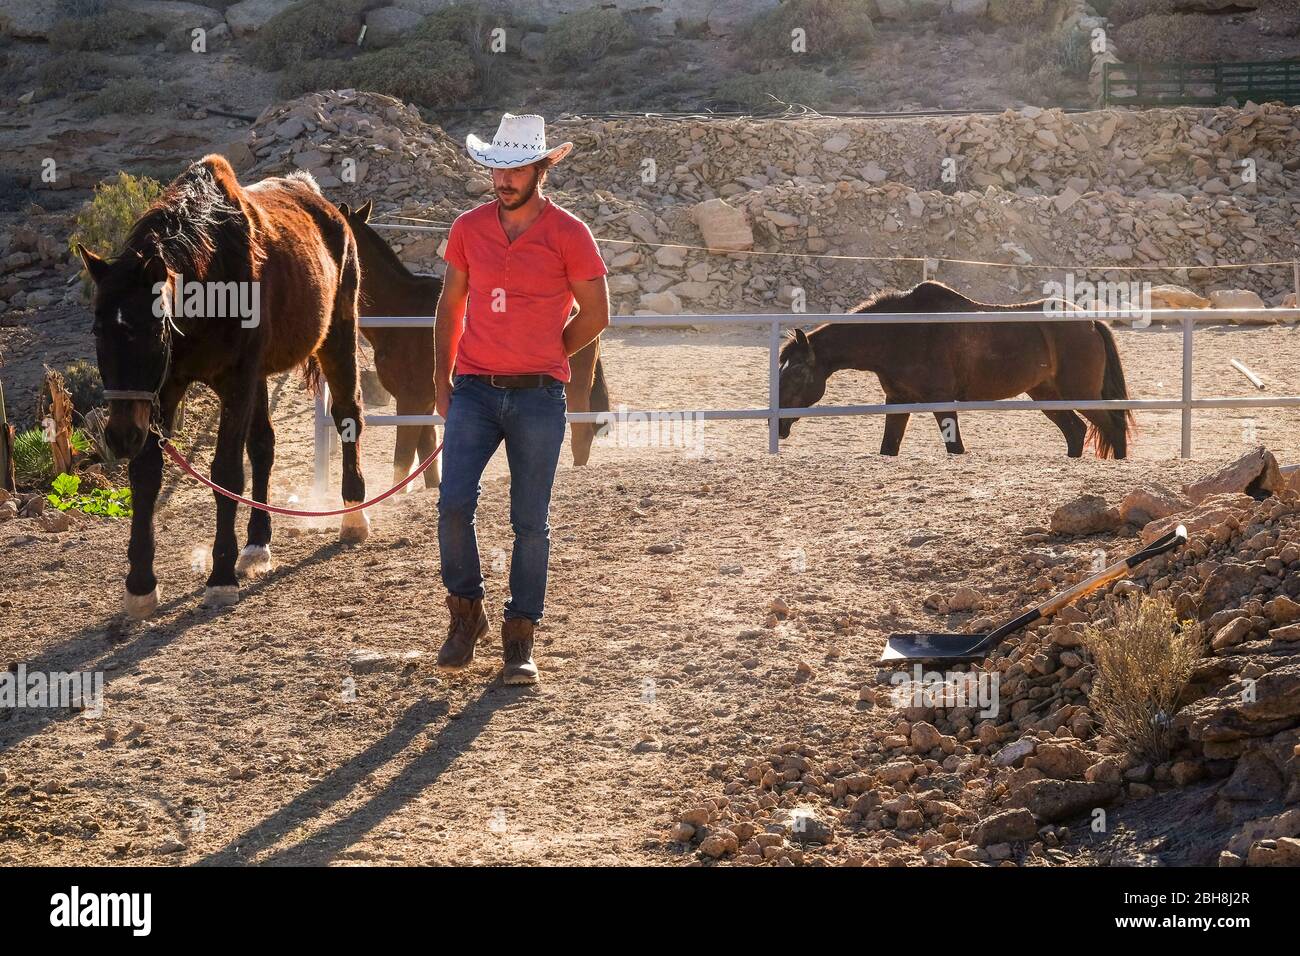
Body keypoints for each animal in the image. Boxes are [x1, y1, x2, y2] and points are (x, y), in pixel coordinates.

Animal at [774, 280, 1133, 460]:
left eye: (795, 374)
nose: (777, 424)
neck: (898, 331)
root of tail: (1090, 322)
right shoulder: (897, 401)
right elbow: (889, 448)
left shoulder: (942, 401)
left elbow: (955, 448)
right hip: (1047, 396)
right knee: (1075, 432)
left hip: (1081, 394)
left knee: (1113, 428)